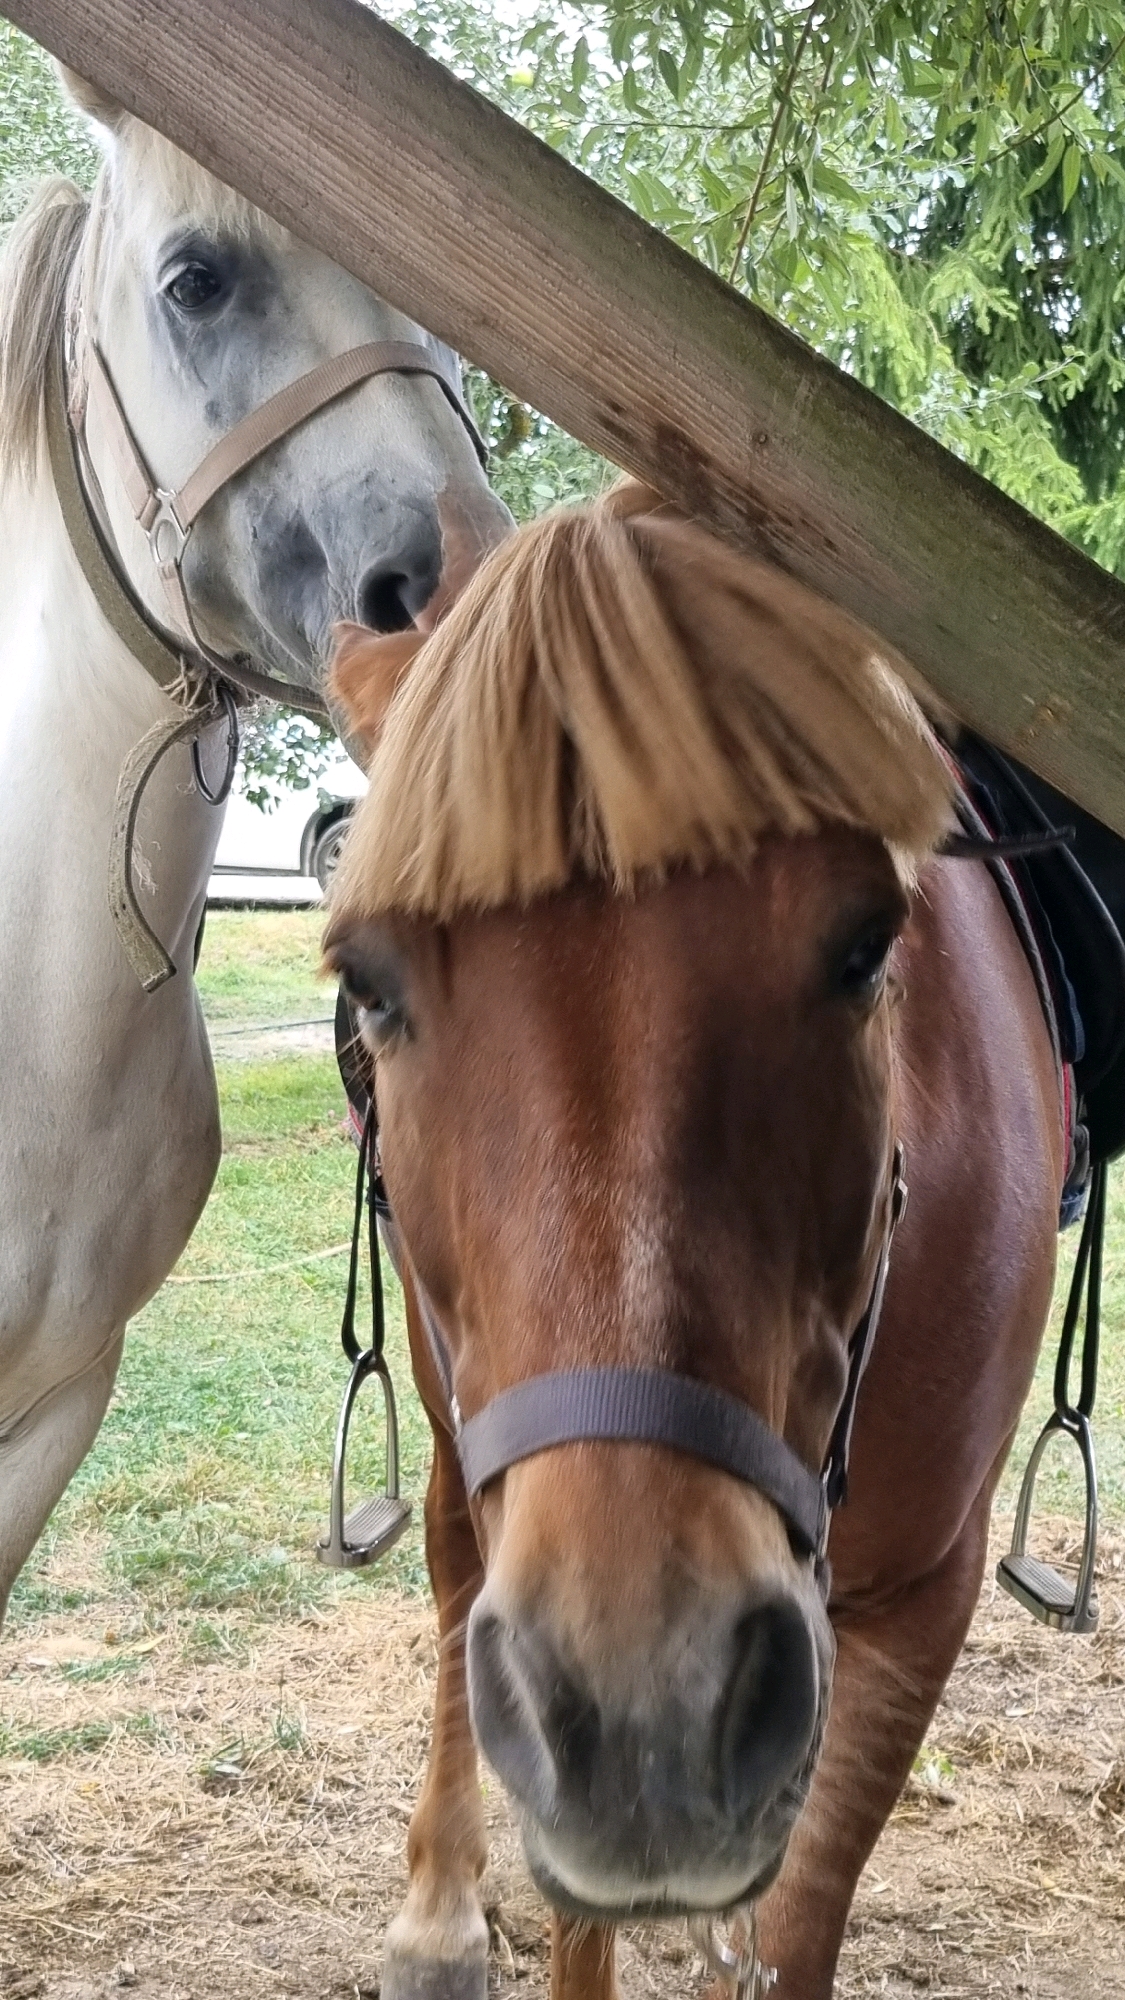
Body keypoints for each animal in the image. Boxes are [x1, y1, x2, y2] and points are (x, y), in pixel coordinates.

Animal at [323, 485, 1065, 2000]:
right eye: (367, 981)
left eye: (867, 945)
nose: (650, 1709)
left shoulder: (921, 1611)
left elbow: (795, 1928)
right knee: (452, 1561)